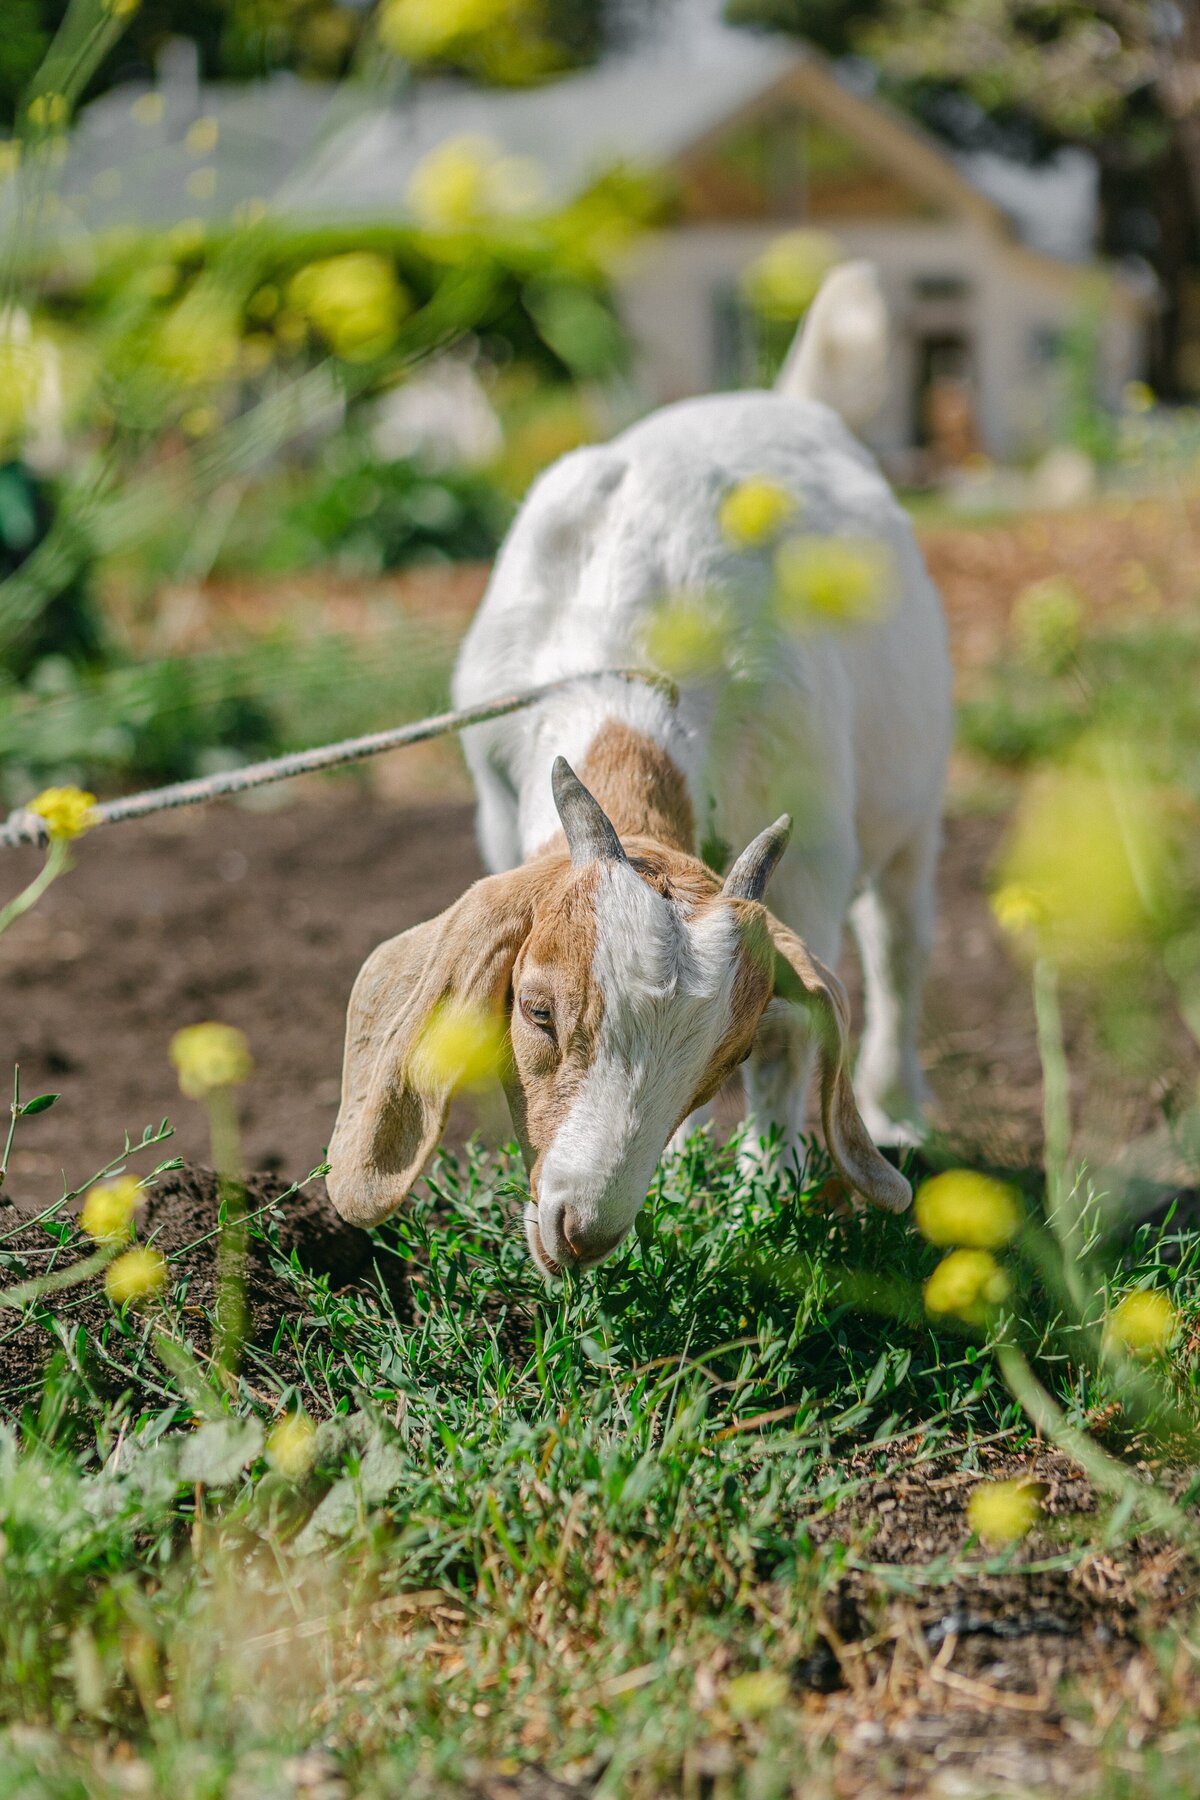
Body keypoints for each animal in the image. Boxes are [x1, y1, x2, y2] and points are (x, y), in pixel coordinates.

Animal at [323, 266, 949, 1281]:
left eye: (722, 1059)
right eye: (537, 1011)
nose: (582, 1230)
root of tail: (790, 401)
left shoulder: (811, 848)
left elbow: (794, 1038)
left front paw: (767, 1192)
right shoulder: (495, 805)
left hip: (914, 813)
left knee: (901, 946)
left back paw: (899, 1110)